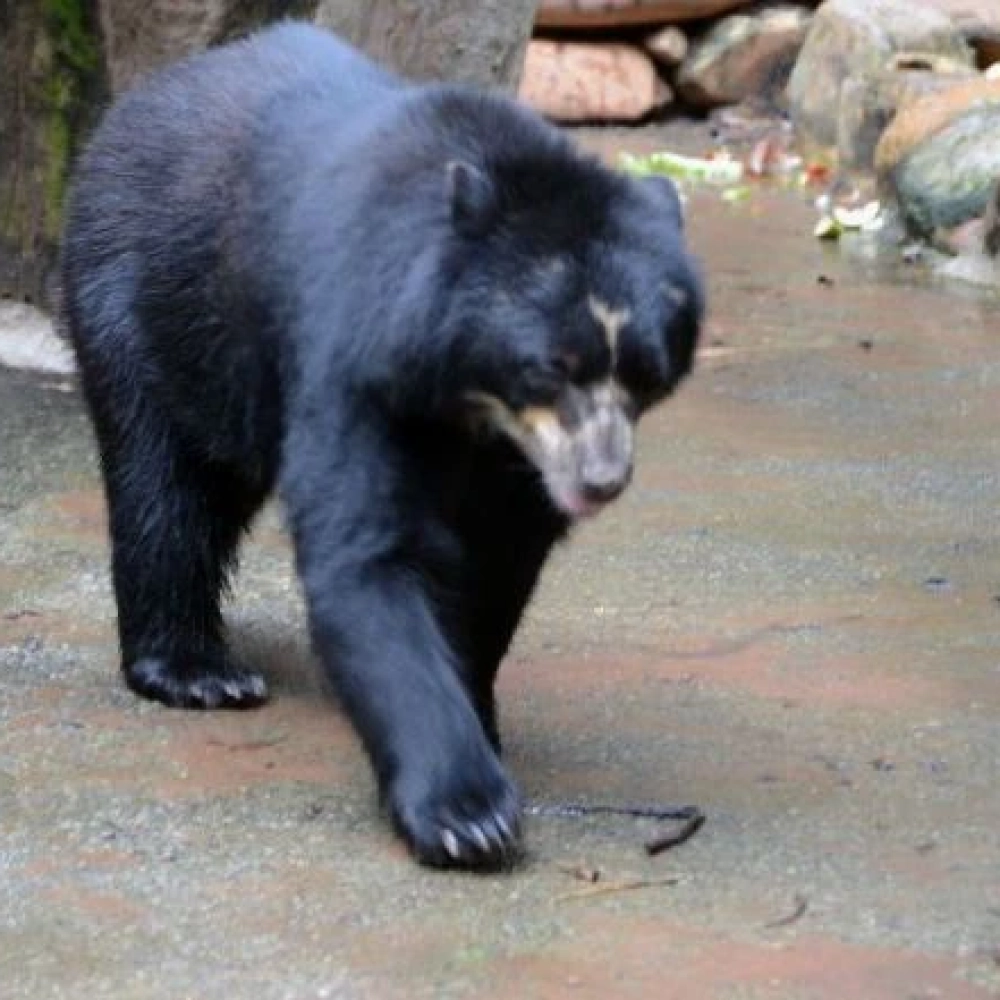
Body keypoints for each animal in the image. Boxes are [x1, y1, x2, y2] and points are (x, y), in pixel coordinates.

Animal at [60, 22, 704, 868]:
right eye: (547, 368)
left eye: (646, 375)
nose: (599, 480)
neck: (471, 406)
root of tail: (131, 107)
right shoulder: (357, 355)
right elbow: (368, 557)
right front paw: (469, 816)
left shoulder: (512, 468)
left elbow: (496, 568)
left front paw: (482, 724)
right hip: (141, 303)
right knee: (163, 487)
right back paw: (199, 673)